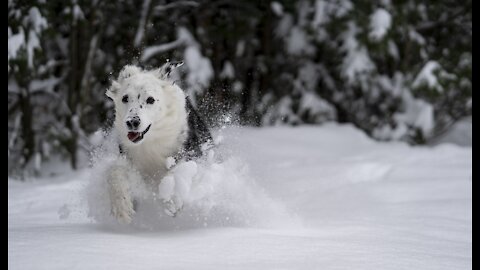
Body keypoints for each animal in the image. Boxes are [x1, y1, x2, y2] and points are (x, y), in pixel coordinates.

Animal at [105, 62, 212, 224]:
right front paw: (122, 207)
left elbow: (176, 171)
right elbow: (114, 171)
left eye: (150, 99)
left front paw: (171, 200)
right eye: (125, 98)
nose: (132, 122)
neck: (152, 140)